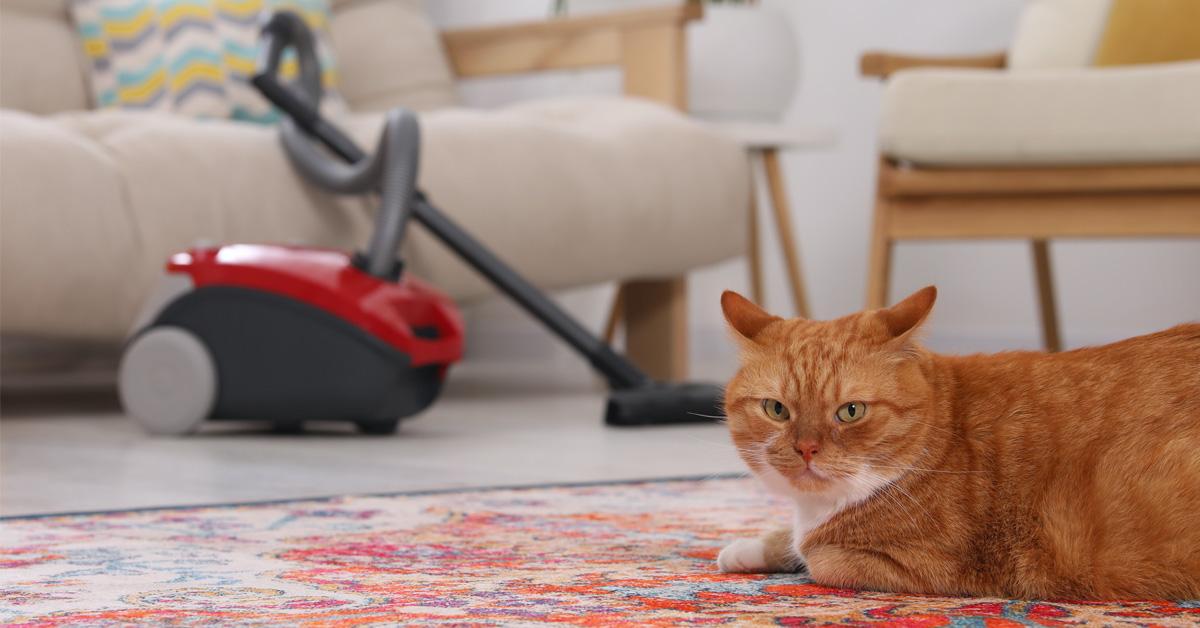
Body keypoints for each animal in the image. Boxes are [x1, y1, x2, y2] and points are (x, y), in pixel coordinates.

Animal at [715, 285, 1195, 600]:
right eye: (776, 409)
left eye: (851, 411)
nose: (807, 449)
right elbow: (788, 539)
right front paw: (746, 548)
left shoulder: (929, 565)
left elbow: (816, 556)